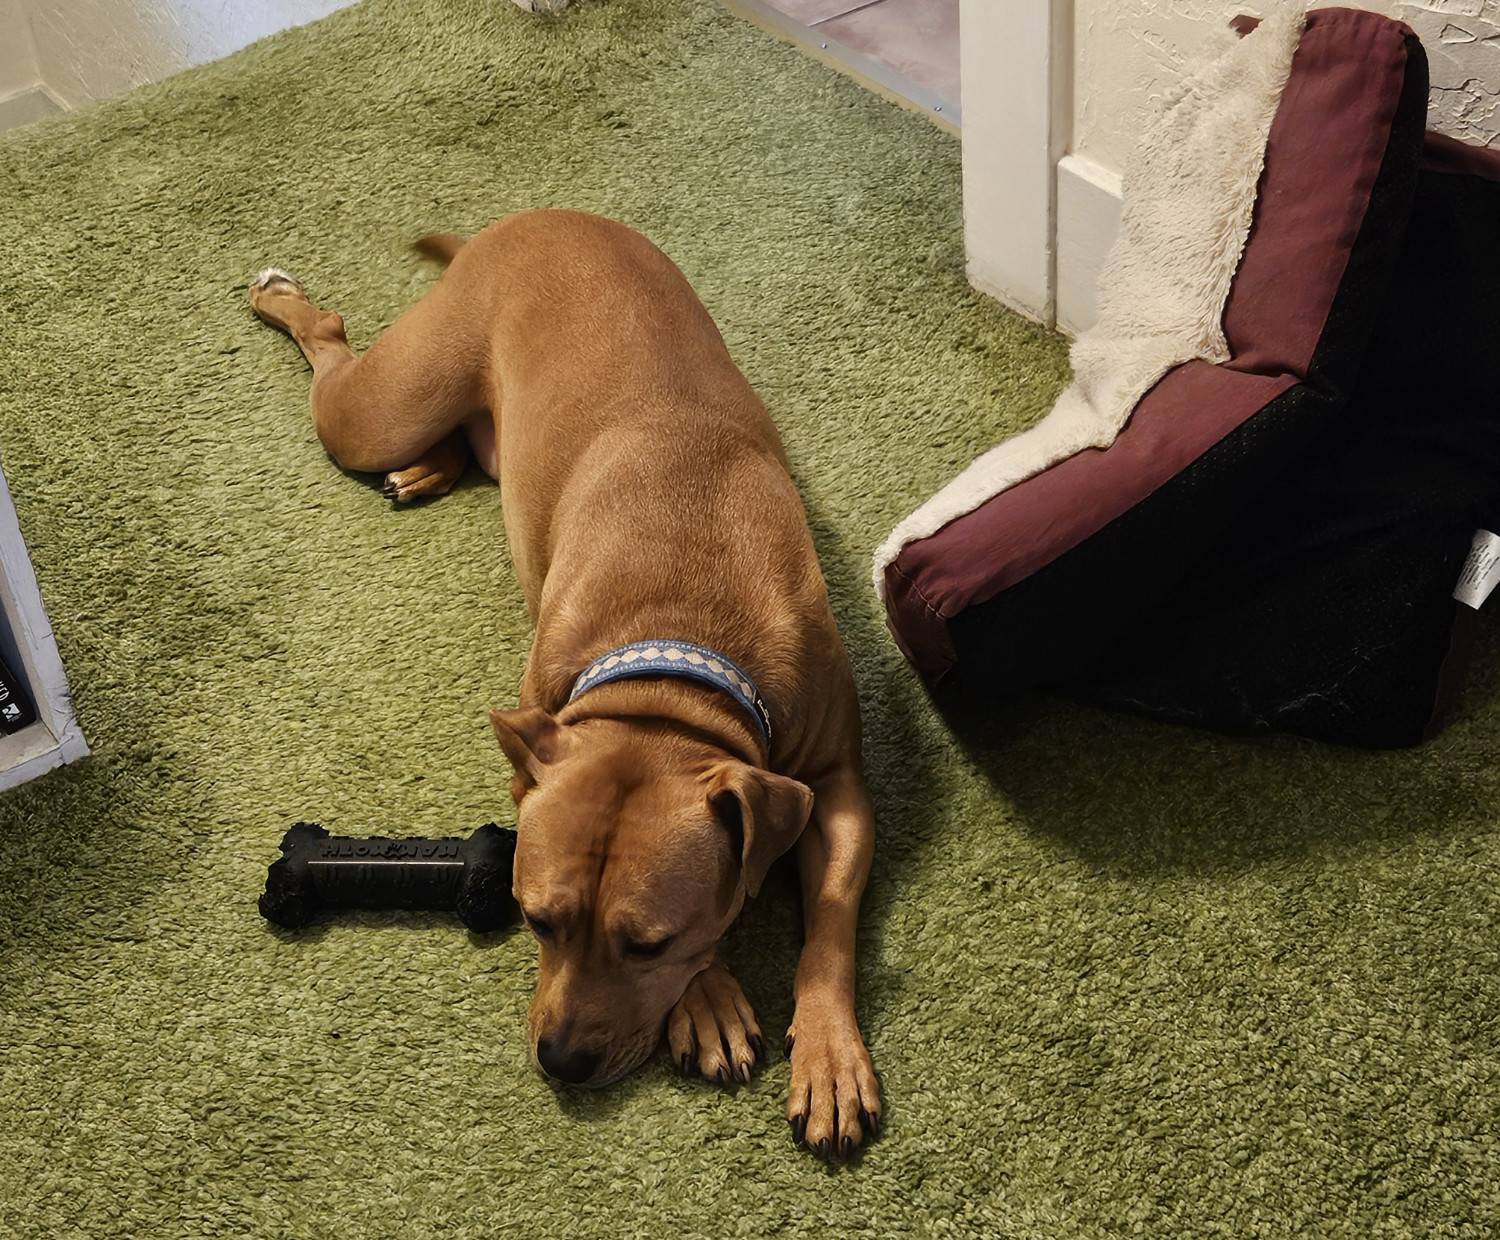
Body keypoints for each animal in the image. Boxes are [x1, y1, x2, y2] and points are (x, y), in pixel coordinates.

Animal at [246, 205, 876, 1163]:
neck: (677, 664)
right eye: (537, 921)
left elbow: (830, 912)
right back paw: (281, 300)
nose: (562, 1062)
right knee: (330, 342)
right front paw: (711, 1000)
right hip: (381, 408)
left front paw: (829, 1051)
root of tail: (527, 216)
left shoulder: (834, 785)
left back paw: (429, 464)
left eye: (649, 944)